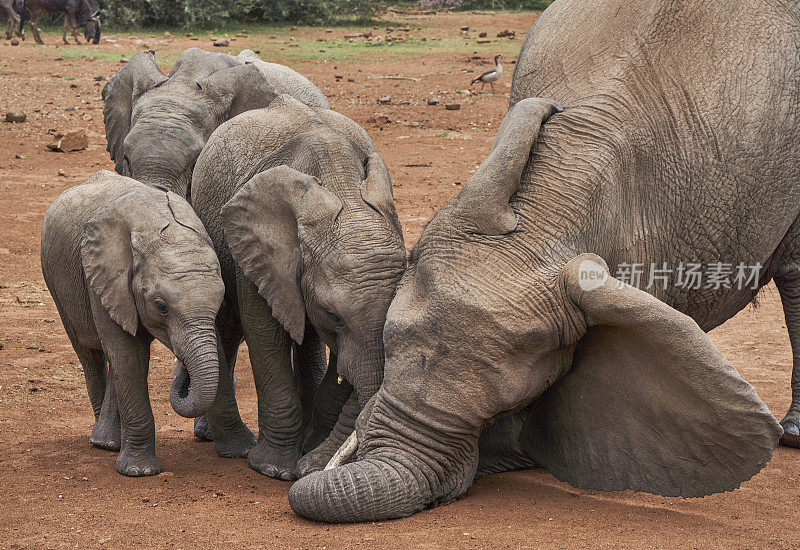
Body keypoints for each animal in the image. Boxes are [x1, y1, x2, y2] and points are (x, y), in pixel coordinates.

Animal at [42, 172, 227, 478]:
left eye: (221, 301)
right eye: (161, 306)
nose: (183, 373)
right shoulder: (105, 278)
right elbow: (128, 357)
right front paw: (139, 472)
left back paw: (108, 441)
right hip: (58, 283)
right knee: (91, 353)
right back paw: (104, 443)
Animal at [191, 96, 406, 484]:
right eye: (335, 317)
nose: (312, 468)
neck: (342, 185)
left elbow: (340, 362)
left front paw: (309, 458)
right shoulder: (256, 255)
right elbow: (265, 336)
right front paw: (274, 469)